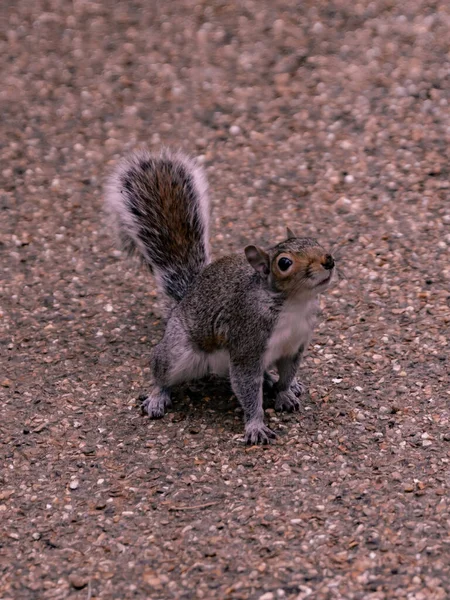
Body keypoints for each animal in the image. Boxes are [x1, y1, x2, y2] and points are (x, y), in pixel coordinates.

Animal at [103, 148, 332, 442]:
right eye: (284, 263)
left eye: (314, 240)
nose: (329, 260)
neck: (293, 303)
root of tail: (184, 299)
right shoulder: (247, 344)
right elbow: (247, 386)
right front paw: (256, 424)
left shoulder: (294, 346)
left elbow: (287, 373)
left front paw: (284, 392)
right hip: (178, 351)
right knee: (161, 369)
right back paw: (157, 396)